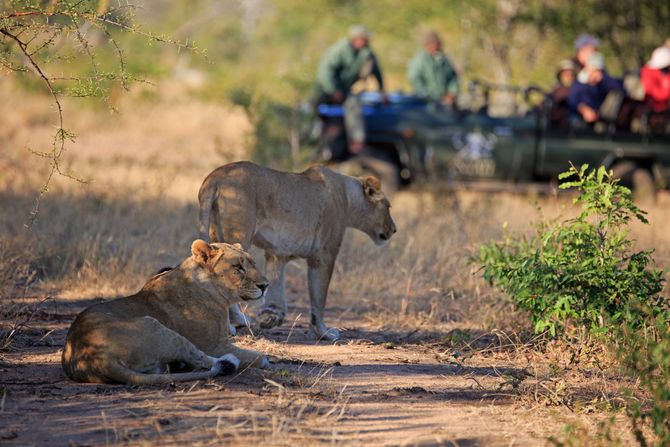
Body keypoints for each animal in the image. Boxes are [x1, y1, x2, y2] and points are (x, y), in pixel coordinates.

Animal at [62, 242, 270, 384]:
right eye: (238, 267)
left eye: (253, 263)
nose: (265, 286)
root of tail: (96, 358)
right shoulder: (214, 345)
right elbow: (256, 357)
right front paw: (263, 358)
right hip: (155, 326)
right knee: (200, 358)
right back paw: (228, 360)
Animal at [200, 161, 400, 340]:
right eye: (388, 207)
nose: (394, 230)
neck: (348, 197)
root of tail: (215, 176)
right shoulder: (324, 255)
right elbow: (319, 297)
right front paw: (323, 332)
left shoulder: (277, 253)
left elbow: (277, 285)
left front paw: (272, 316)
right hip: (239, 236)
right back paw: (233, 325)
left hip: (216, 233)